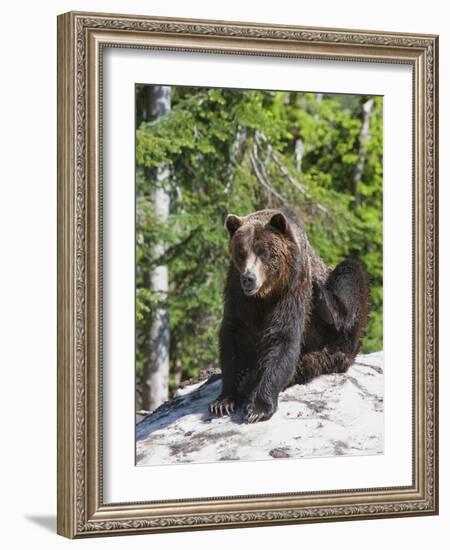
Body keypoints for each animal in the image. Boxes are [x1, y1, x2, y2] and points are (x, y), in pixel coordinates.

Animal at [209, 209, 368, 424]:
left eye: (263, 251)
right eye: (241, 251)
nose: (249, 278)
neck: (267, 290)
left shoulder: (293, 284)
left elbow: (283, 335)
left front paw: (258, 407)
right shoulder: (237, 291)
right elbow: (233, 334)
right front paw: (224, 401)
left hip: (338, 333)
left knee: (349, 273)